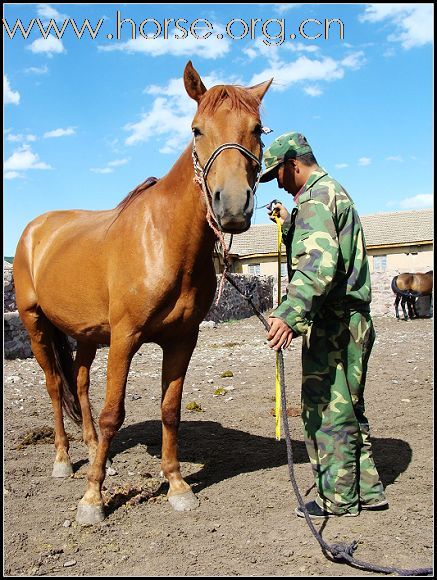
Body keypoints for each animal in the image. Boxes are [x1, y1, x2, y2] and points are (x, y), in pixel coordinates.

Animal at [13, 62, 270, 524]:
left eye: (257, 129)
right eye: (196, 130)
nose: (232, 207)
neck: (164, 239)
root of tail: (34, 230)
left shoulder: (182, 339)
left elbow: (170, 410)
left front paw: (178, 485)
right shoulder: (125, 337)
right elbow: (113, 413)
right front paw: (92, 499)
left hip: (86, 334)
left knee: (79, 383)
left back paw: (95, 452)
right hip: (36, 323)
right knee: (54, 386)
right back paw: (64, 461)